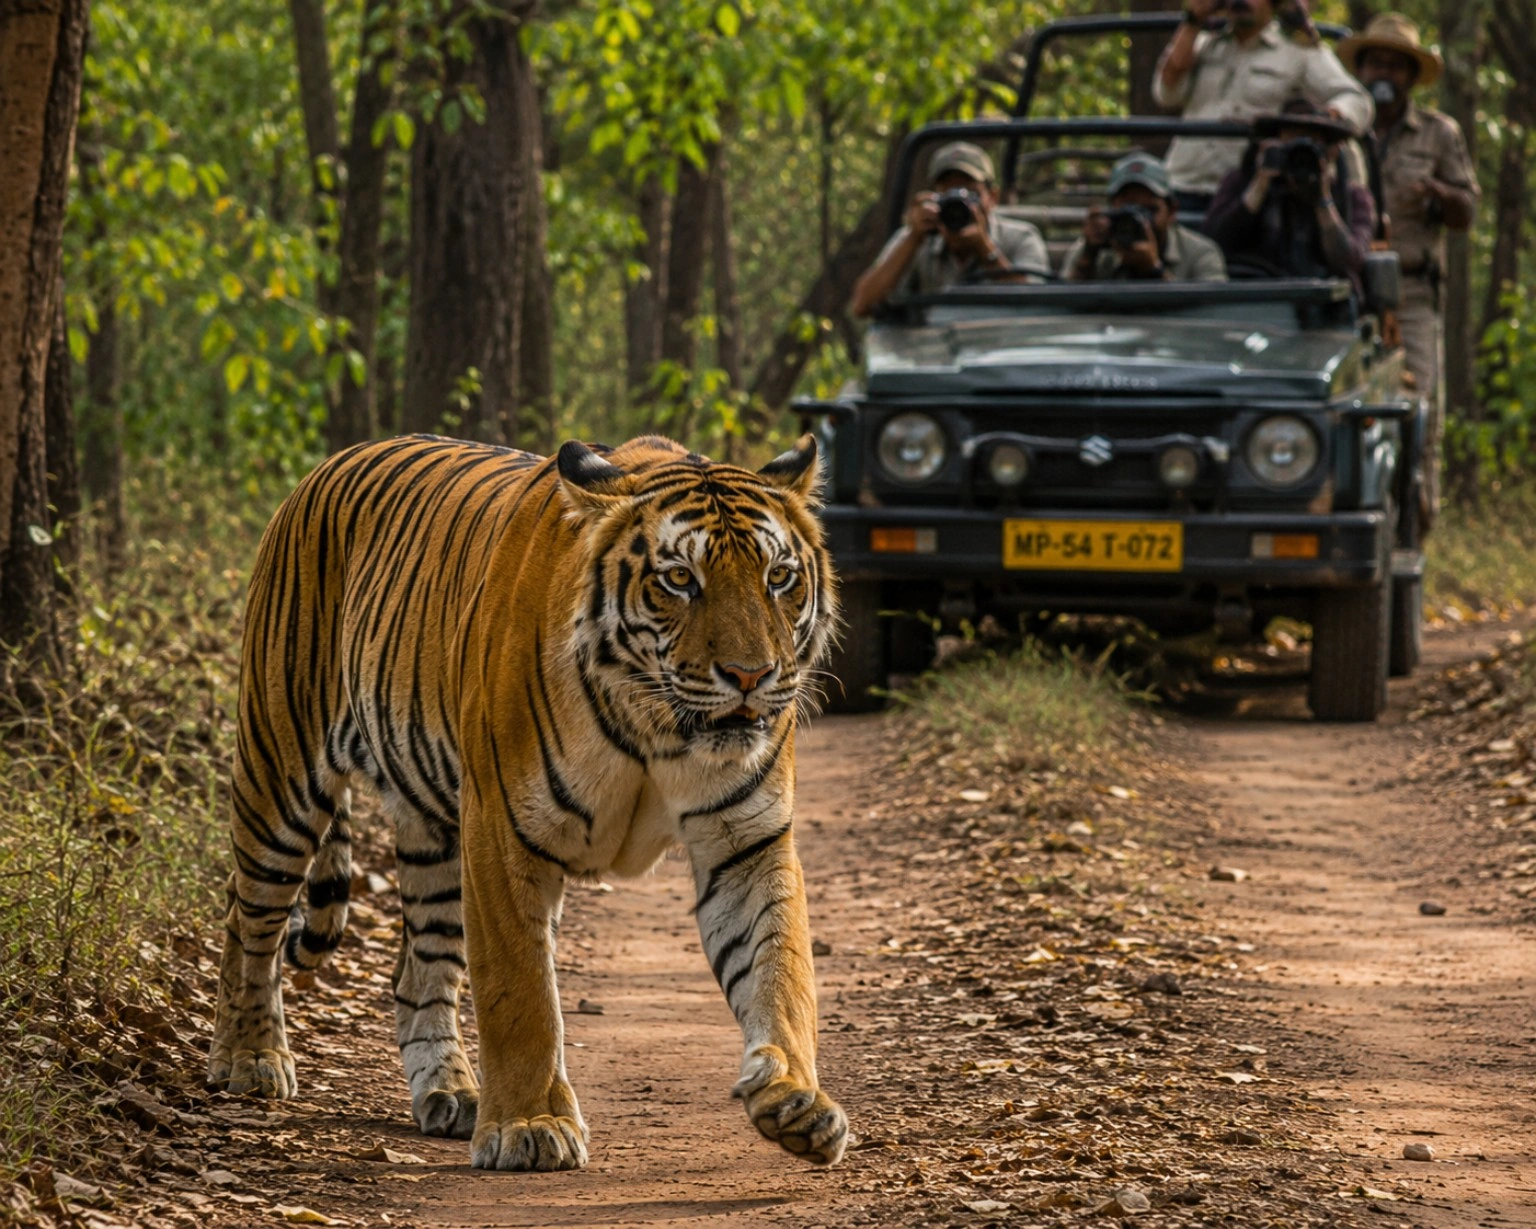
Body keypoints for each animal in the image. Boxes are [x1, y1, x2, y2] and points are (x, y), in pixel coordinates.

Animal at [207, 432, 848, 1171]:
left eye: (779, 577)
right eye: (680, 580)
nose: (751, 675)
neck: (657, 725)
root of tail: (329, 464)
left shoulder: (747, 842)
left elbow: (780, 971)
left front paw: (794, 1099)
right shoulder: (502, 832)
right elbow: (522, 994)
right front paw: (530, 1125)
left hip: (434, 838)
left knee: (417, 972)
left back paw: (450, 1092)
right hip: (280, 779)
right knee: (248, 918)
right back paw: (249, 1057)